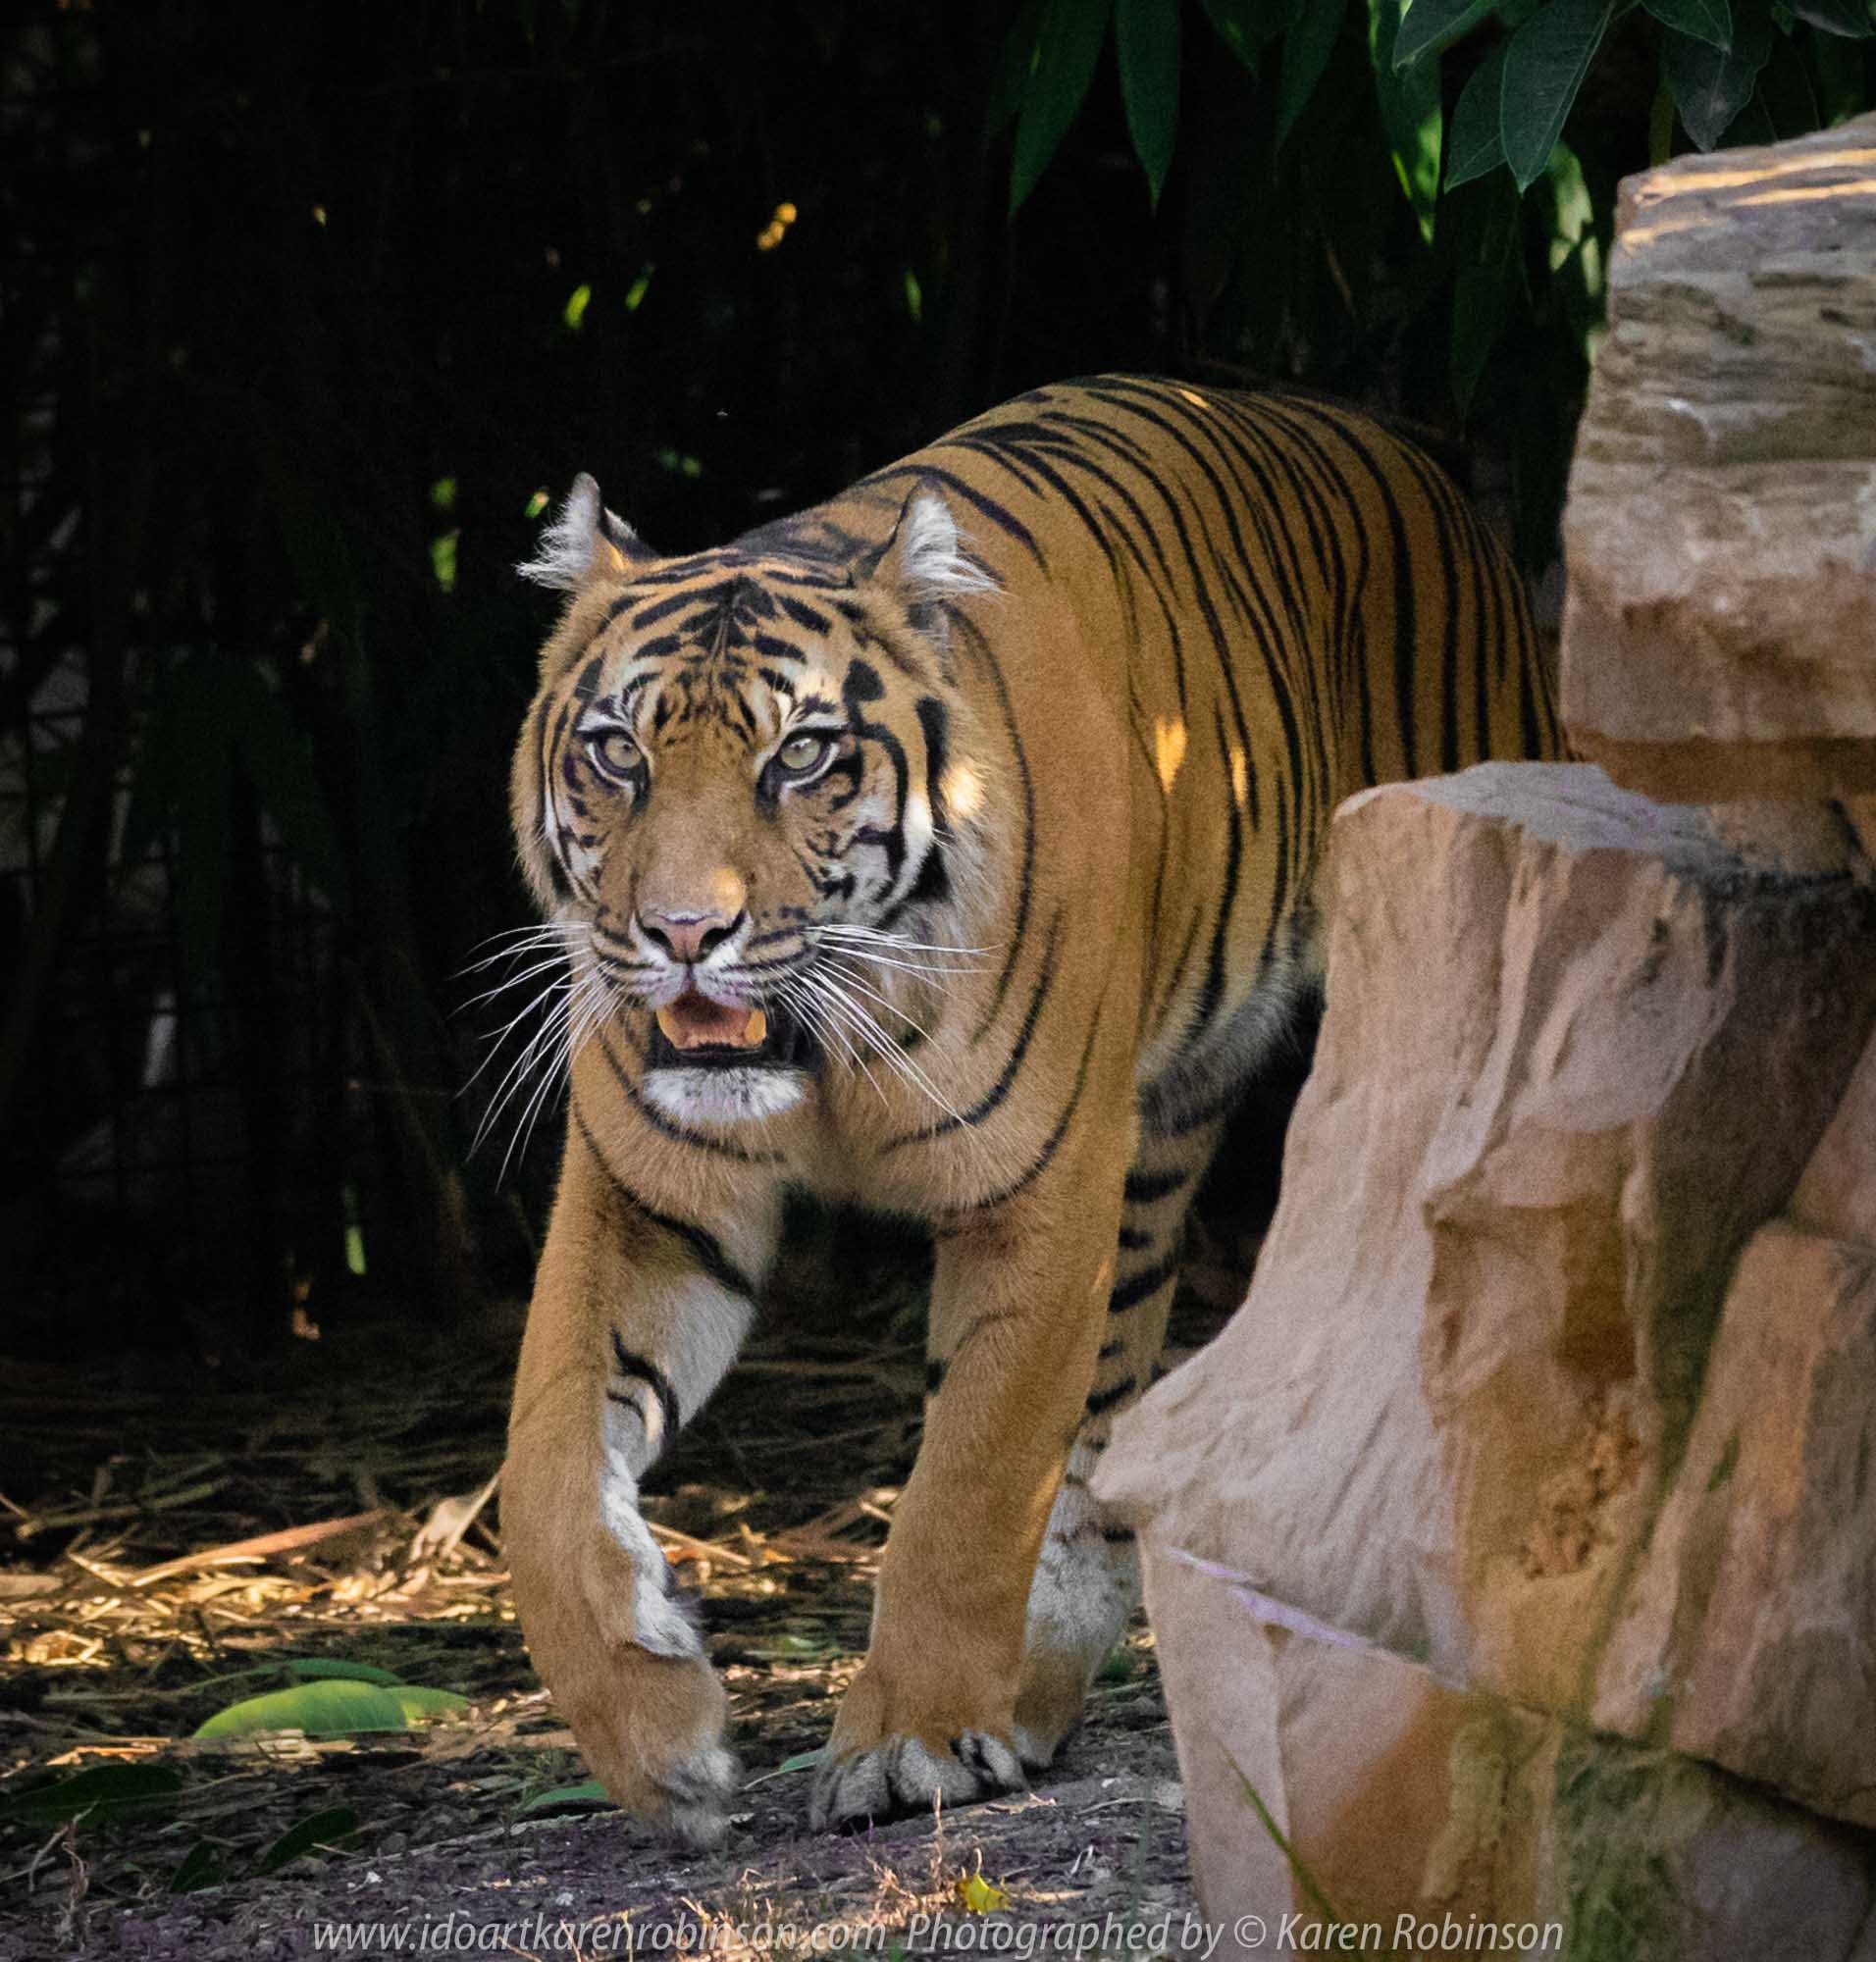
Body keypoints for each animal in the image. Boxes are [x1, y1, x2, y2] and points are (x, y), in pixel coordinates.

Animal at [501, 375, 1561, 1844]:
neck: (825, 1056)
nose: (681, 935)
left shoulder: (1036, 1199)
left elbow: (967, 1485)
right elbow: (544, 1480)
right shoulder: (646, 1197)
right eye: (615, 755)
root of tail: (1404, 449)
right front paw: (659, 1740)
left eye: (803, 757)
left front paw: (906, 1744)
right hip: (1153, 1161)